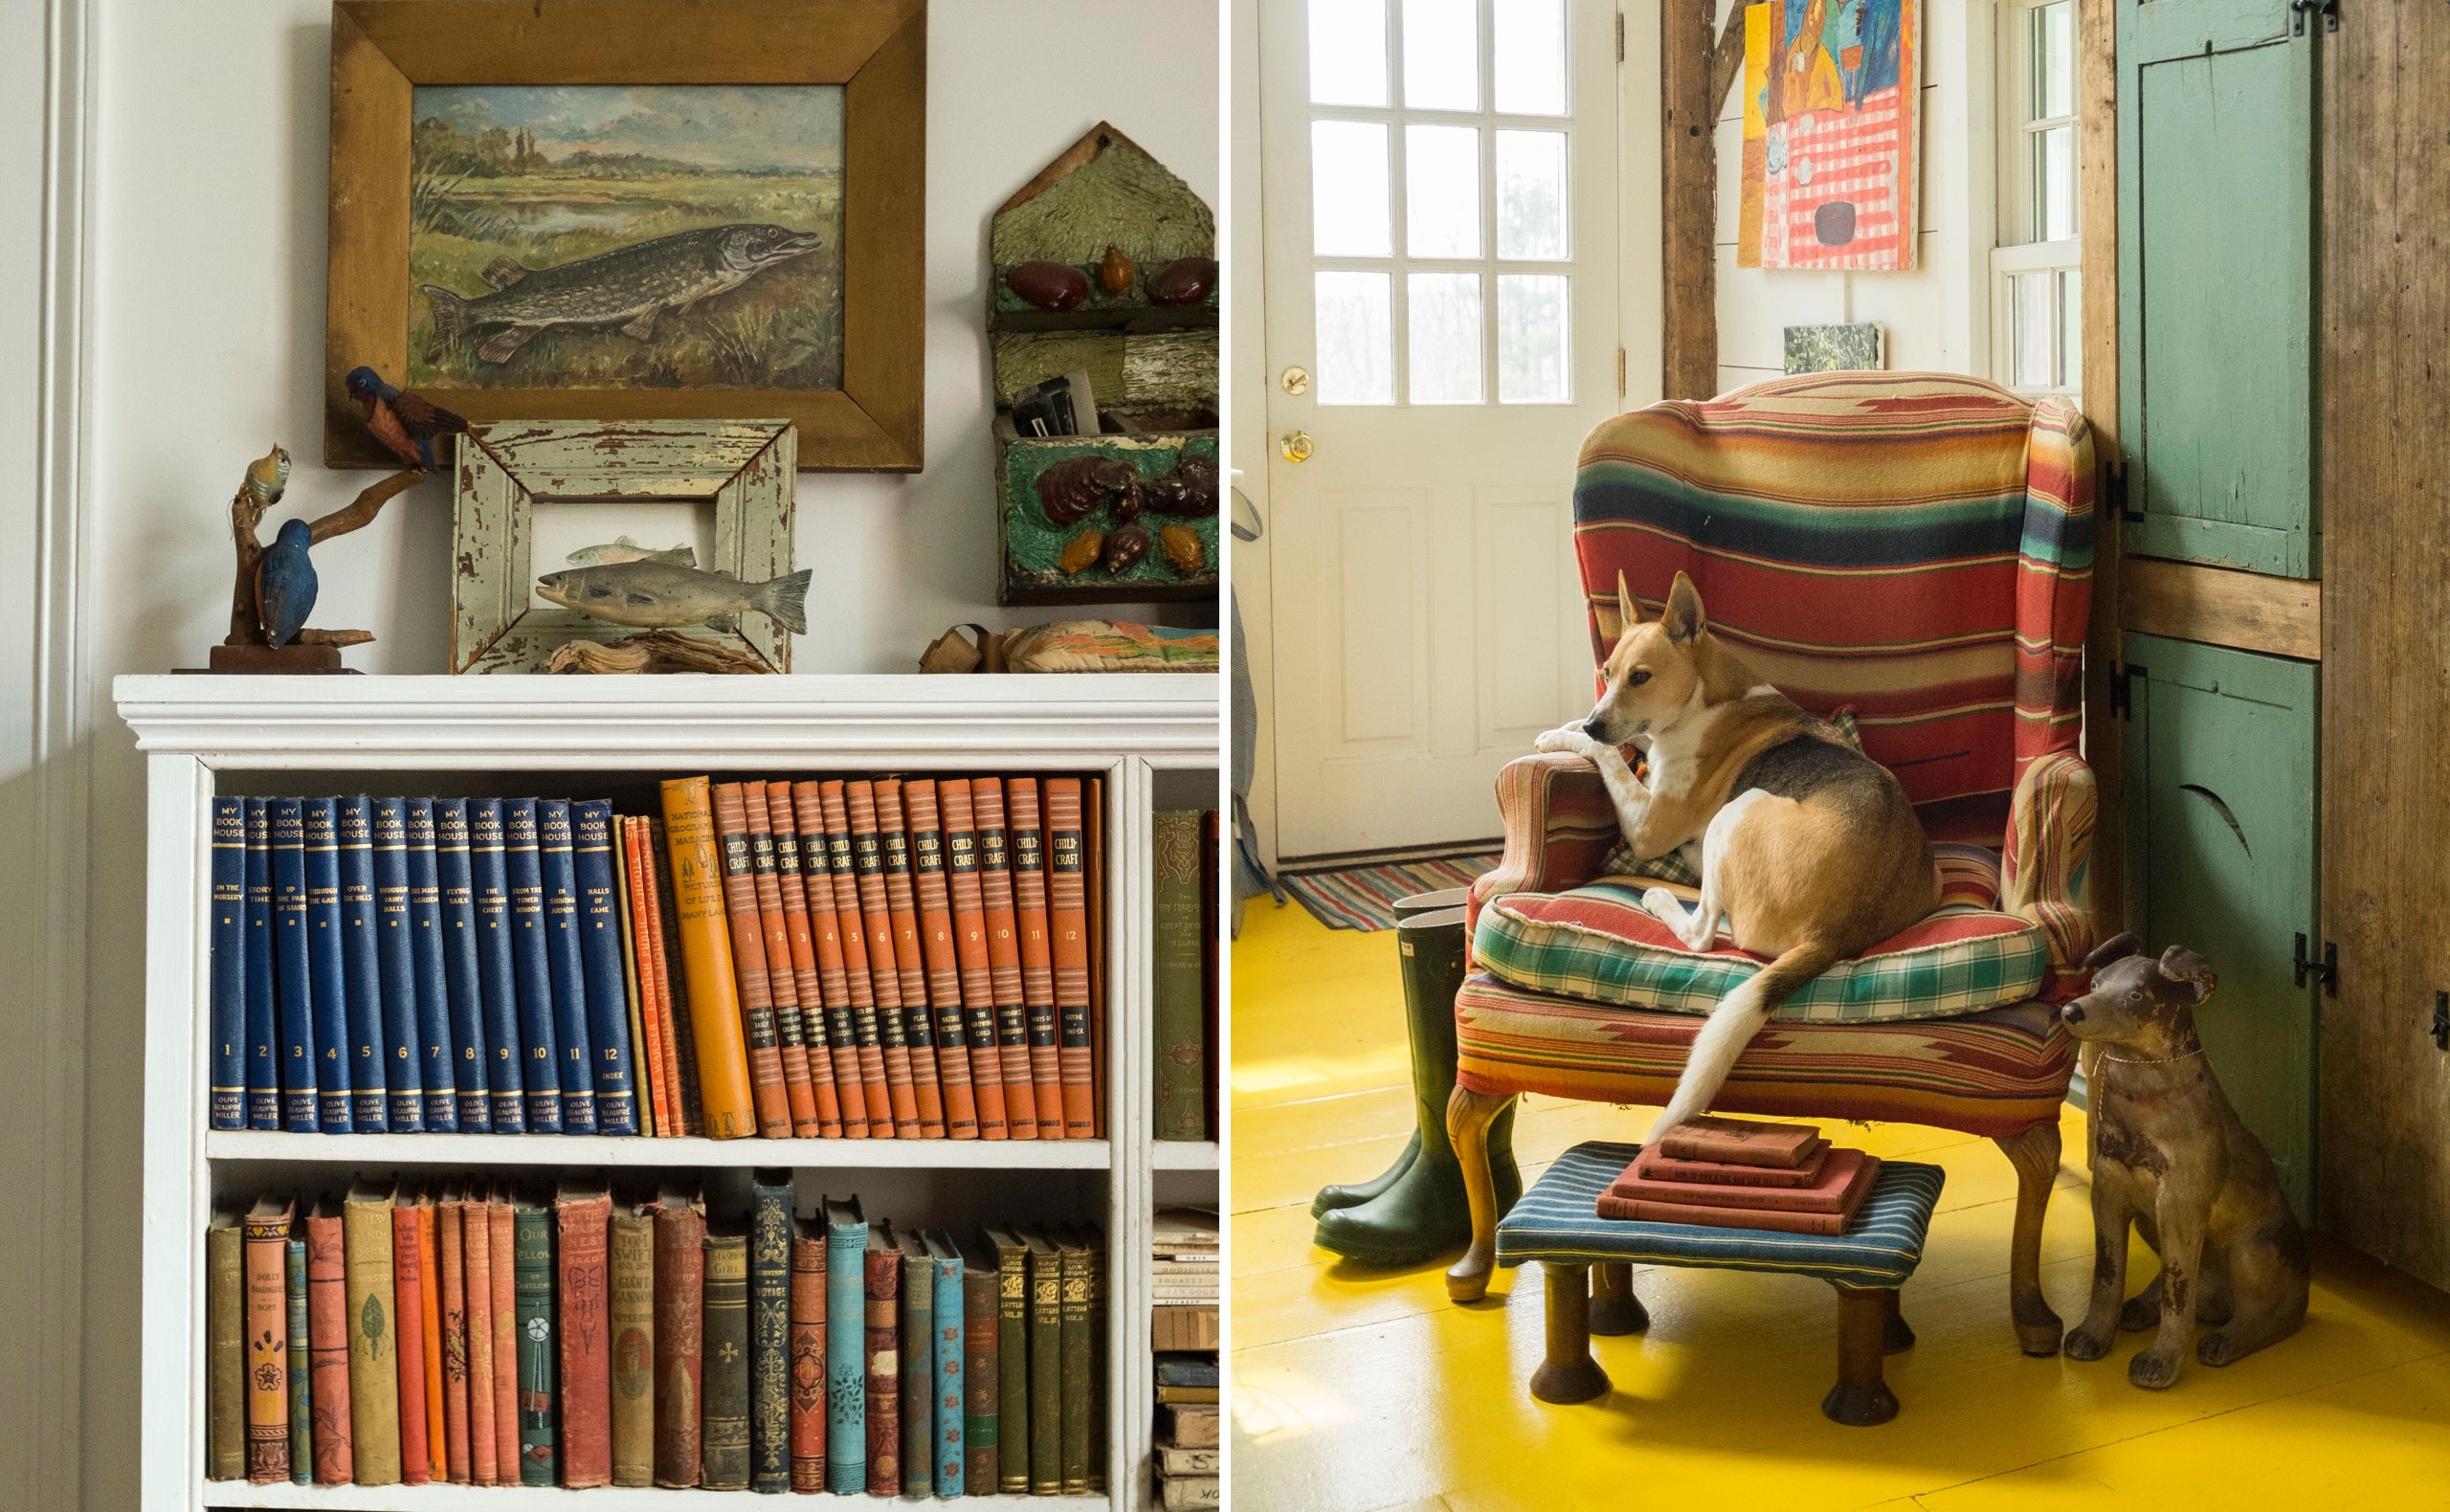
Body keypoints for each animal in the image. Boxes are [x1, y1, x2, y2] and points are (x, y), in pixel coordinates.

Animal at [1538, 570, 1940, 1137]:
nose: (1597, 721)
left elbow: (1610, 756)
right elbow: (1609, 745)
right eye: (1607, 673)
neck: (1706, 698)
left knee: (1704, 932)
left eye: (1641, 677)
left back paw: (1662, 900)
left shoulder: (1649, 827)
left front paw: (1570, 736)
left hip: (1738, 809)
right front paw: (1571, 728)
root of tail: (1838, 933)